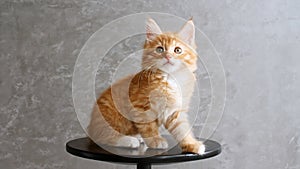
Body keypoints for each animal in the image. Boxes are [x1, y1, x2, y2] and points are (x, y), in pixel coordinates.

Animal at [86, 17, 204, 154]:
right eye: (160, 49)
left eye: (177, 50)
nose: (168, 56)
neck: (169, 78)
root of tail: (91, 126)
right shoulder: (140, 107)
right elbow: (148, 127)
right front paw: (155, 140)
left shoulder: (176, 110)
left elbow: (182, 130)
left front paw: (193, 144)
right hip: (111, 116)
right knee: (102, 137)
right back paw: (129, 140)